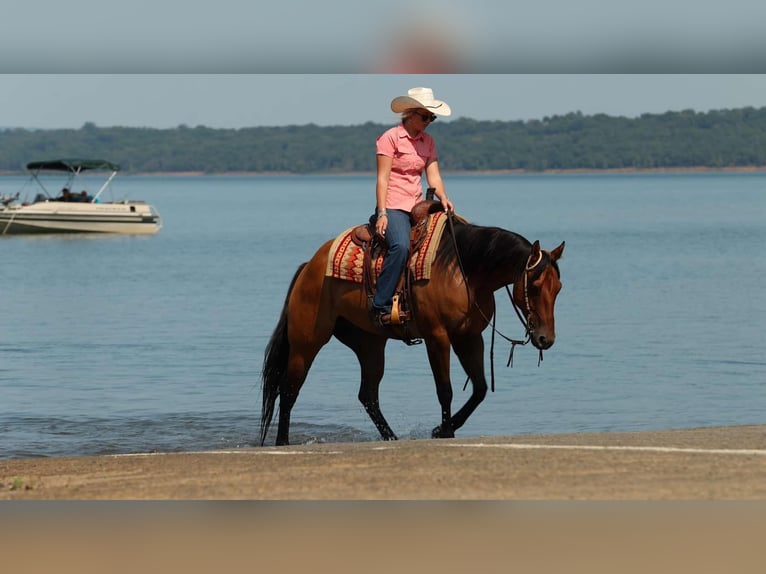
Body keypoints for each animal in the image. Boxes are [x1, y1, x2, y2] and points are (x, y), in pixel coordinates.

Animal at [259, 209, 565, 446]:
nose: (545, 339)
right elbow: (445, 389)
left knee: (368, 395)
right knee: (289, 388)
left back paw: (391, 438)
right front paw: (445, 431)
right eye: (535, 286)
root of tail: (309, 267)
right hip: (307, 342)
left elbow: (479, 388)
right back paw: (282, 441)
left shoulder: (469, 337)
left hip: (369, 344)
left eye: (558, 288)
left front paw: (441, 428)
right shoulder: (437, 336)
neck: (465, 269)